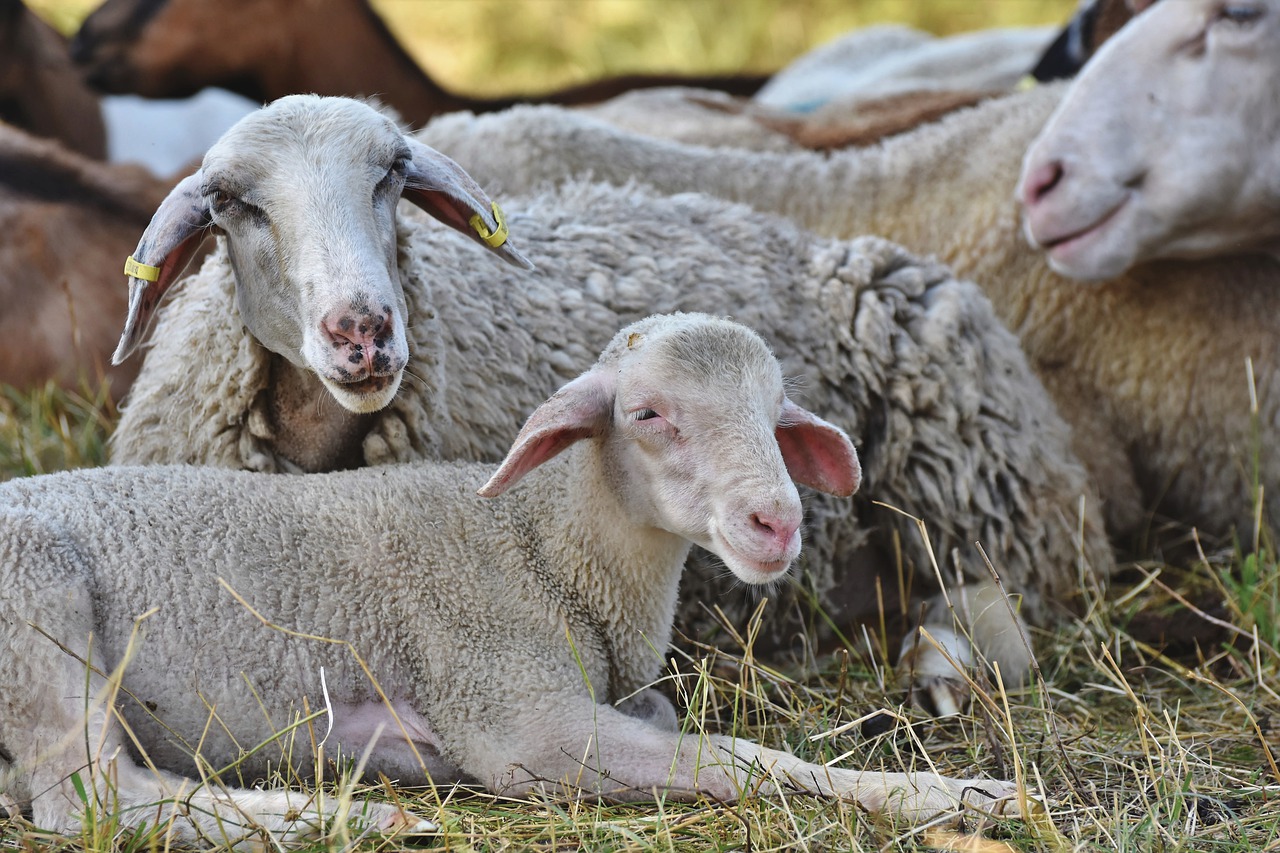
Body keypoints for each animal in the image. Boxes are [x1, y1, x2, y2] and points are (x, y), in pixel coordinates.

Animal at [0, 311, 1029, 845]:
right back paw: (347, 815)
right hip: (38, 605)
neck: (543, 546)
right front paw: (956, 795)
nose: (776, 521)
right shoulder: (516, 714)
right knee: (95, 799)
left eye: (777, 415)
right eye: (647, 413)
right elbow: (741, 758)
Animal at [110, 92, 1111, 712]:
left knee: (1003, 591)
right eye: (233, 202)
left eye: (391, 174)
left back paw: (942, 664)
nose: (363, 329)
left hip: (982, 480)